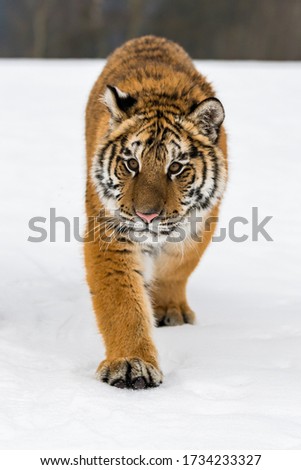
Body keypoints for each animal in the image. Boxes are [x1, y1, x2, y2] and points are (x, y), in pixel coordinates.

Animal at [83, 35, 226, 390]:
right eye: (132, 163)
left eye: (175, 167)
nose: (146, 216)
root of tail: (150, 37)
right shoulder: (110, 232)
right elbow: (122, 301)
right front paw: (131, 363)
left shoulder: (200, 223)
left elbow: (176, 268)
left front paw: (170, 310)